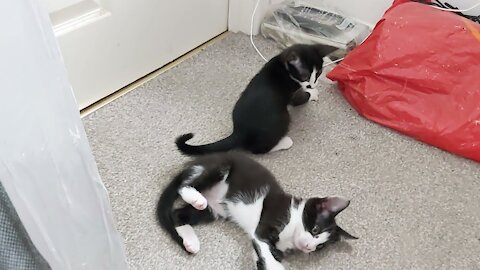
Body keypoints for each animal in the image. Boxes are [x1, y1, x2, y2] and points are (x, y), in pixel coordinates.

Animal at [158, 153, 356, 268]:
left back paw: (190, 241)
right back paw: (194, 197)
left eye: (320, 246)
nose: (309, 248)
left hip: (214, 210)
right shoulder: (267, 224)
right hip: (220, 167)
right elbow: (265, 249)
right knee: (184, 186)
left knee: (178, 214)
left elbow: (263, 255)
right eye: (315, 230)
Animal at [176, 43, 338, 154]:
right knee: (257, 149)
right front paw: (312, 93)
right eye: (304, 76)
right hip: (281, 117)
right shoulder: (292, 91)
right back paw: (283, 142)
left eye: (319, 73)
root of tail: (239, 131)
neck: (282, 64)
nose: (312, 84)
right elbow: (299, 98)